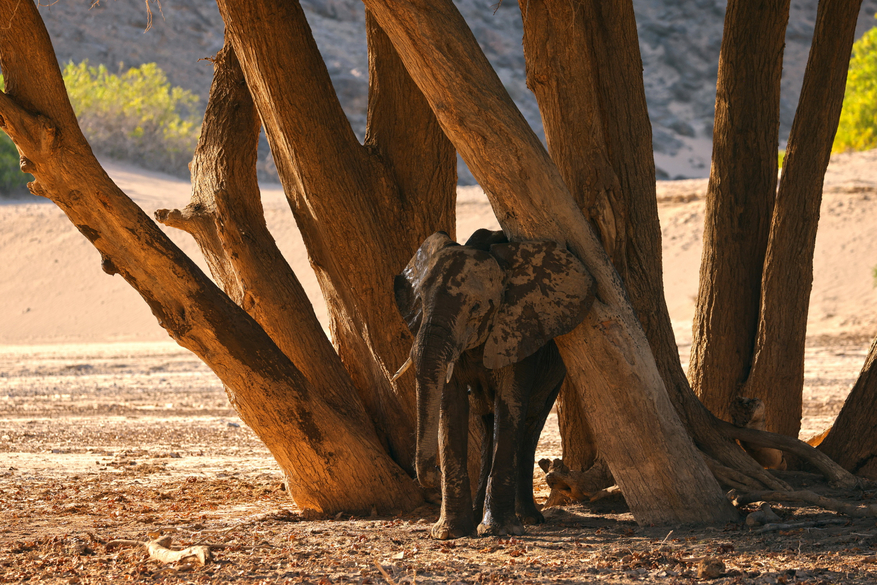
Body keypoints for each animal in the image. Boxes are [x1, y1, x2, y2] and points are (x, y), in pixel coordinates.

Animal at [396, 228, 596, 540]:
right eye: (419, 302)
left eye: (477, 308)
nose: (434, 472)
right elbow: (450, 406)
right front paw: (450, 533)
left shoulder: (519, 331)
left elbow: (510, 403)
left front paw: (498, 530)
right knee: (485, 424)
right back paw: (480, 513)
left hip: (555, 375)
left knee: (529, 426)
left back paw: (528, 518)